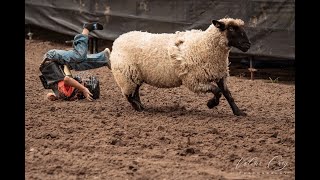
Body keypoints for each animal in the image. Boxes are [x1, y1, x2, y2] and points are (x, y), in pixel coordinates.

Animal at [109, 17, 251, 116]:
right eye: (231, 29)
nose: (248, 45)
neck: (204, 45)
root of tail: (118, 40)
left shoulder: (219, 74)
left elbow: (228, 94)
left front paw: (238, 112)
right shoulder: (193, 81)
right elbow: (217, 91)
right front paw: (211, 104)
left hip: (134, 75)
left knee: (135, 91)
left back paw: (141, 107)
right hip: (126, 73)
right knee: (129, 95)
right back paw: (138, 108)